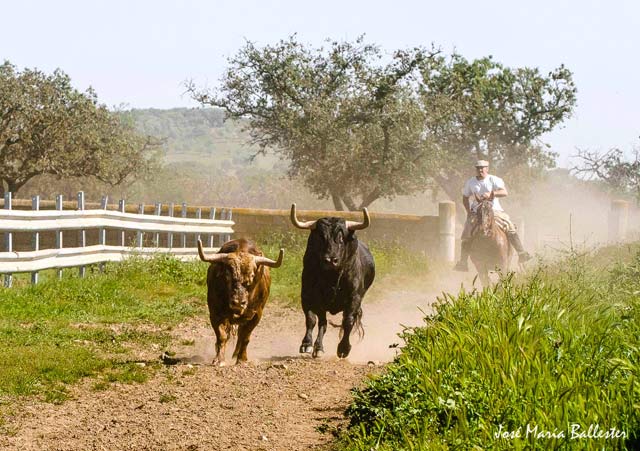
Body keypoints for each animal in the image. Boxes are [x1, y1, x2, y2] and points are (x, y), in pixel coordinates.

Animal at [196, 238, 284, 366]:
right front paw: (219, 359)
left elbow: (245, 337)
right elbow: (221, 336)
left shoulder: (256, 315)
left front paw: (242, 359)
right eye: (227, 275)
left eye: (252, 275)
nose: (238, 302)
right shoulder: (215, 313)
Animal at [290, 203, 376, 358]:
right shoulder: (308, 296)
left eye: (341, 238)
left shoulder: (354, 298)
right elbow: (312, 320)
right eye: (321, 237)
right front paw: (308, 345)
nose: (330, 260)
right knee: (322, 322)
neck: (332, 278)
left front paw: (343, 348)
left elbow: (348, 321)